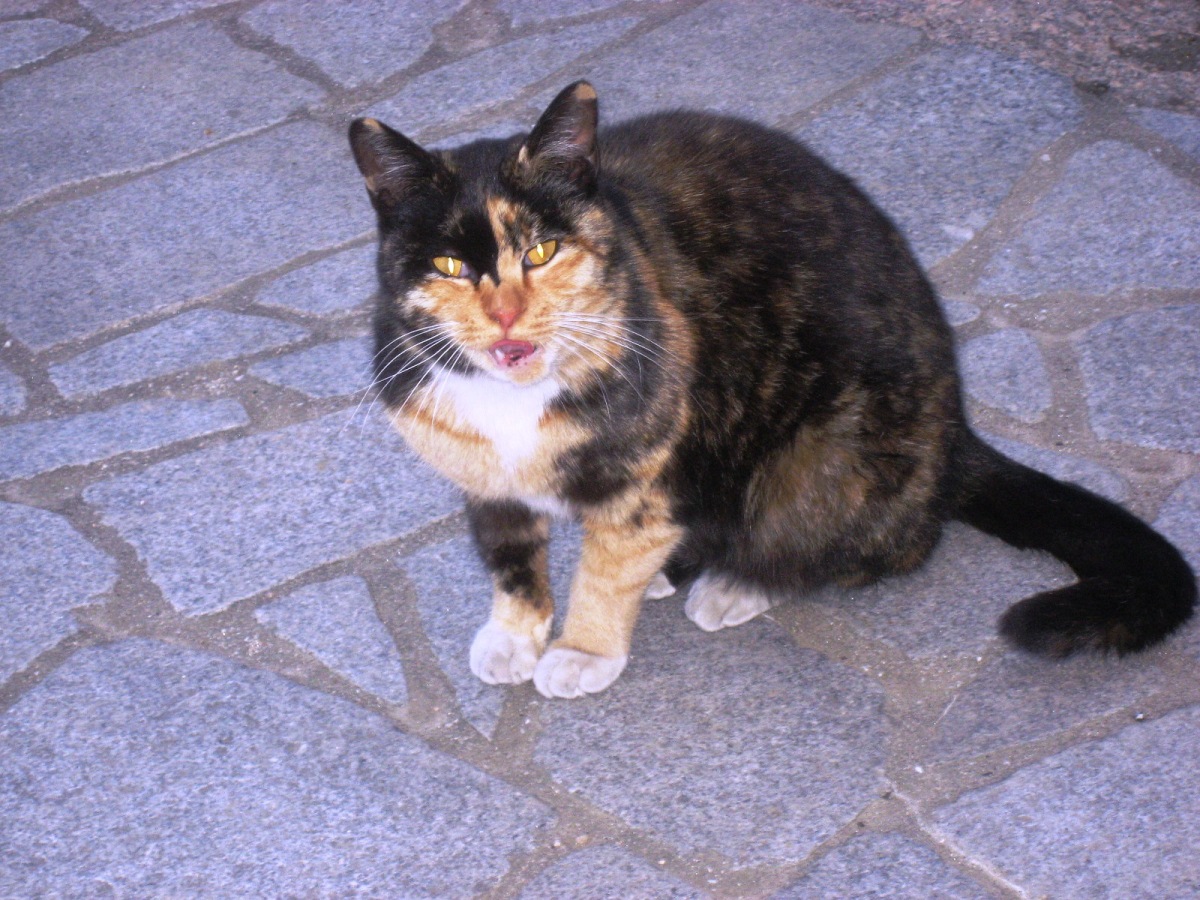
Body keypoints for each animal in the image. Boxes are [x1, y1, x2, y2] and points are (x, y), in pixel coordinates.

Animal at [348, 80, 1196, 699]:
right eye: (450, 266)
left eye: (543, 250)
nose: (505, 316)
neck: (516, 405)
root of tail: (959, 433)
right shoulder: (482, 476)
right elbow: (508, 557)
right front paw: (516, 633)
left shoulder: (656, 466)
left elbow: (610, 562)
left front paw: (584, 647)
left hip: (826, 454)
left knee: (872, 547)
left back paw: (732, 584)